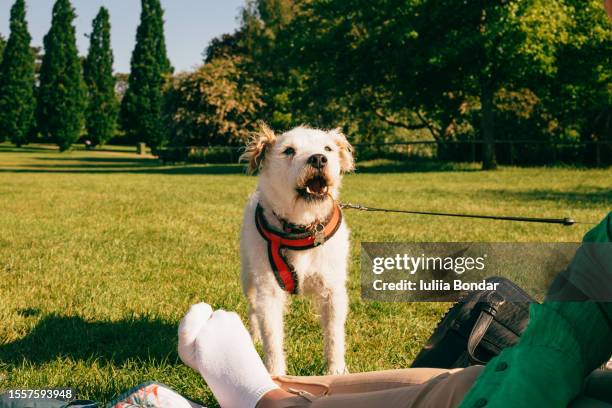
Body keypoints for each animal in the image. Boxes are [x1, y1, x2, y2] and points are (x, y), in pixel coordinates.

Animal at [239, 124, 354, 376]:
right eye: (289, 150)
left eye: (328, 148)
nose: (319, 158)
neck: (302, 226)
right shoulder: (269, 292)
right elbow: (272, 337)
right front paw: (275, 375)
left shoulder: (333, 292)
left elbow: (334, 335)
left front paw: (336, 371)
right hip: (248, 277)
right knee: (253, 310)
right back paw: (254, 338)